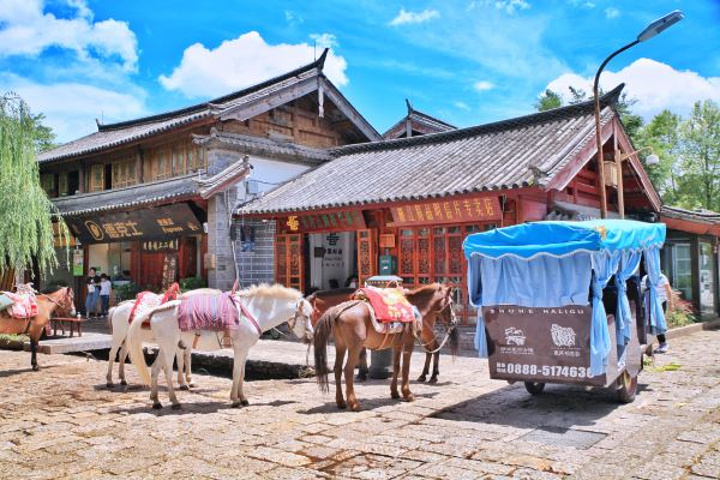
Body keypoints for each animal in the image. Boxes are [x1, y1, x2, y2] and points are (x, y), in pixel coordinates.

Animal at [129, 284, 312, 408]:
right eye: (307, 316)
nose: (310, 337)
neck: (253, 311)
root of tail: (155, 310)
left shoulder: (244, 350)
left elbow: (242, 373)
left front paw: (243, 398)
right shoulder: (240, 348)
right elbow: (236, 373)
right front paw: (235, 400)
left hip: (166, 347)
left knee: (154, 369)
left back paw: (156, 401)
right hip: (169, 348)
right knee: (167, 371)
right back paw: (174, 401)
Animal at [312, 284, 452, 410]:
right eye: (451, 303)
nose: (453, 321)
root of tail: (338, 309)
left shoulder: (398, 345)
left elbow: (397, 367)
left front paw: (395, 393)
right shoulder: (408, 344)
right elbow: (405, 369)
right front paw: (408, 394)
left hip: (341, 346)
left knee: (337, 369)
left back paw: (340, 402)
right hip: (354, 347)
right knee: (348, 370)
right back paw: (354, 403)